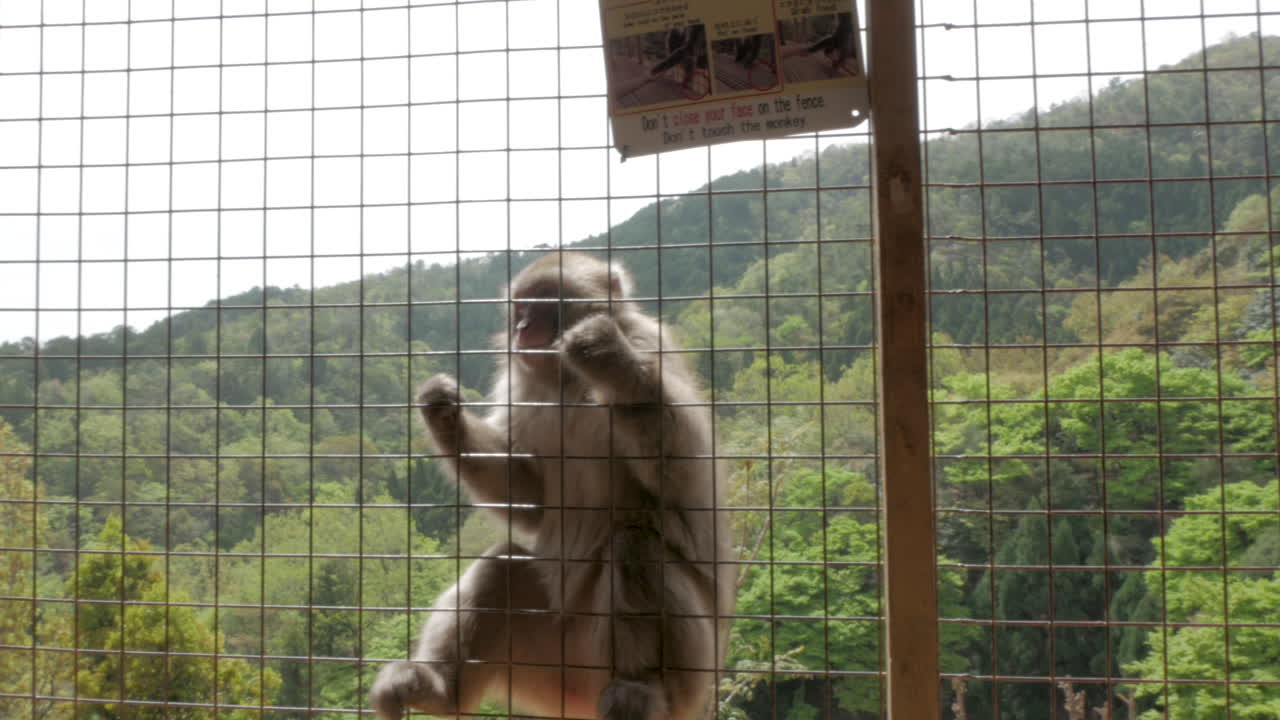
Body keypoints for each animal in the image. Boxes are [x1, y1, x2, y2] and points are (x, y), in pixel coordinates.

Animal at [370, 252, 736, 720]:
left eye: (545, 307)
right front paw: (444, 417)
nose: (524, 328)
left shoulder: (650, 344)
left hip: (691, 667)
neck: (565, 382)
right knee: (502, 566)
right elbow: (532, 498)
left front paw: (612, 363)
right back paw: (439, 691)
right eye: (522, 308)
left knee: (635, 542)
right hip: (551, 667)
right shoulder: (521, 387)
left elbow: (686, 477)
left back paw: (641, 686)